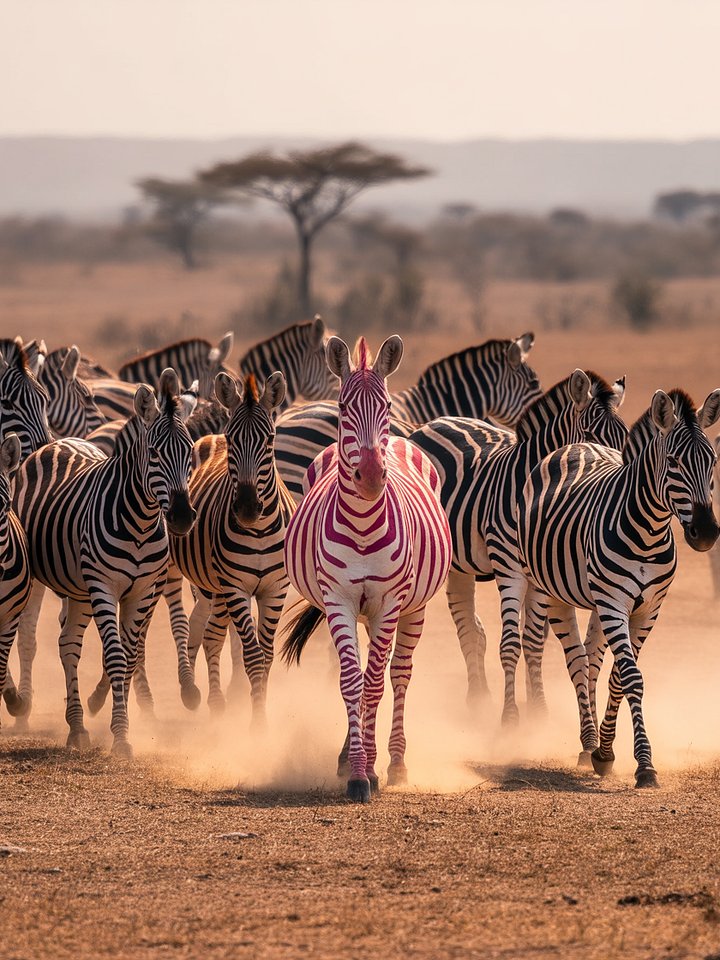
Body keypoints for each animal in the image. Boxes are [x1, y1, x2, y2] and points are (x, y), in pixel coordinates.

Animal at [13, 369, 197, 756]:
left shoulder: (142, 589)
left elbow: (129, 656)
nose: (181, 517)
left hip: (79, 589)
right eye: (154, 453)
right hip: (41, 578)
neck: (141, 521)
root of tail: (56, 441)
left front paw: (120, 727)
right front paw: (122, 737)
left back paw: (77, 727)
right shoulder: (104, 586)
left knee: (68, 643)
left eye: (190, 452)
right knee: (34, 634)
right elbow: (115, 657)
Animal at [282, 336, 452, 803]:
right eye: (342, 408)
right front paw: (356, 771)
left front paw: (372, 770)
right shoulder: (338, 598)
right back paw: (348, 756)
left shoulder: (389, 600)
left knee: (399, 673)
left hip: (412, 608)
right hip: (356, 610)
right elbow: (350, 682)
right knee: (358, 673)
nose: (373, 477)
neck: (361, 525)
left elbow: (374, 683)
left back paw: (395, 762)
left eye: (387, 406)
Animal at [408, 370, 628, 724]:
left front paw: (538, 710)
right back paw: (478, 700)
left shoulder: (538, 574)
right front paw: (510, 717)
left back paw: (479, 697)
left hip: (461, 564)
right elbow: (511, 642)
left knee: (468, 621)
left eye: (625, 436)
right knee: (465, 624)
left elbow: (534, 642)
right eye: (591, 435)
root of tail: (432, 423)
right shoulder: (508, 566)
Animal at [517, 388, 720, 787]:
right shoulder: (614, 602)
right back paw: (585, 739)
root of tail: (579, 444)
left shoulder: (648, 608)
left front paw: (606, 752)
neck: (649, 533)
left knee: (593, 661)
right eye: (673, 461)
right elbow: (631, 677)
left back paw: (590, 745)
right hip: (550, 589)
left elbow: (618, 677)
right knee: (575, 661)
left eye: (713, 461)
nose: (705, 533)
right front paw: (644, 765)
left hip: (597, 602)